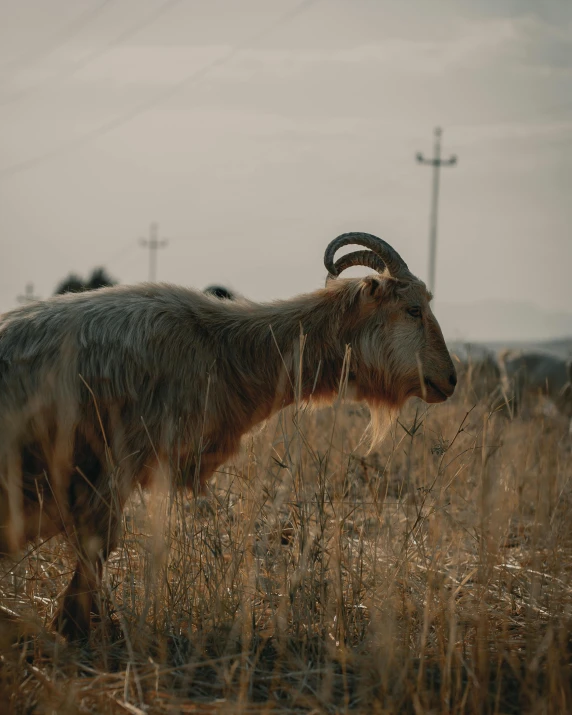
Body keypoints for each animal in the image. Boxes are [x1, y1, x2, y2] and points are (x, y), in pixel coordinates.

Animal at [0, 232, 456, 640]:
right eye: (413, 309)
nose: (450, 379)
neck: (223, 347)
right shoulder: (114, 465)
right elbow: (99, 544)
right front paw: (72, 625)